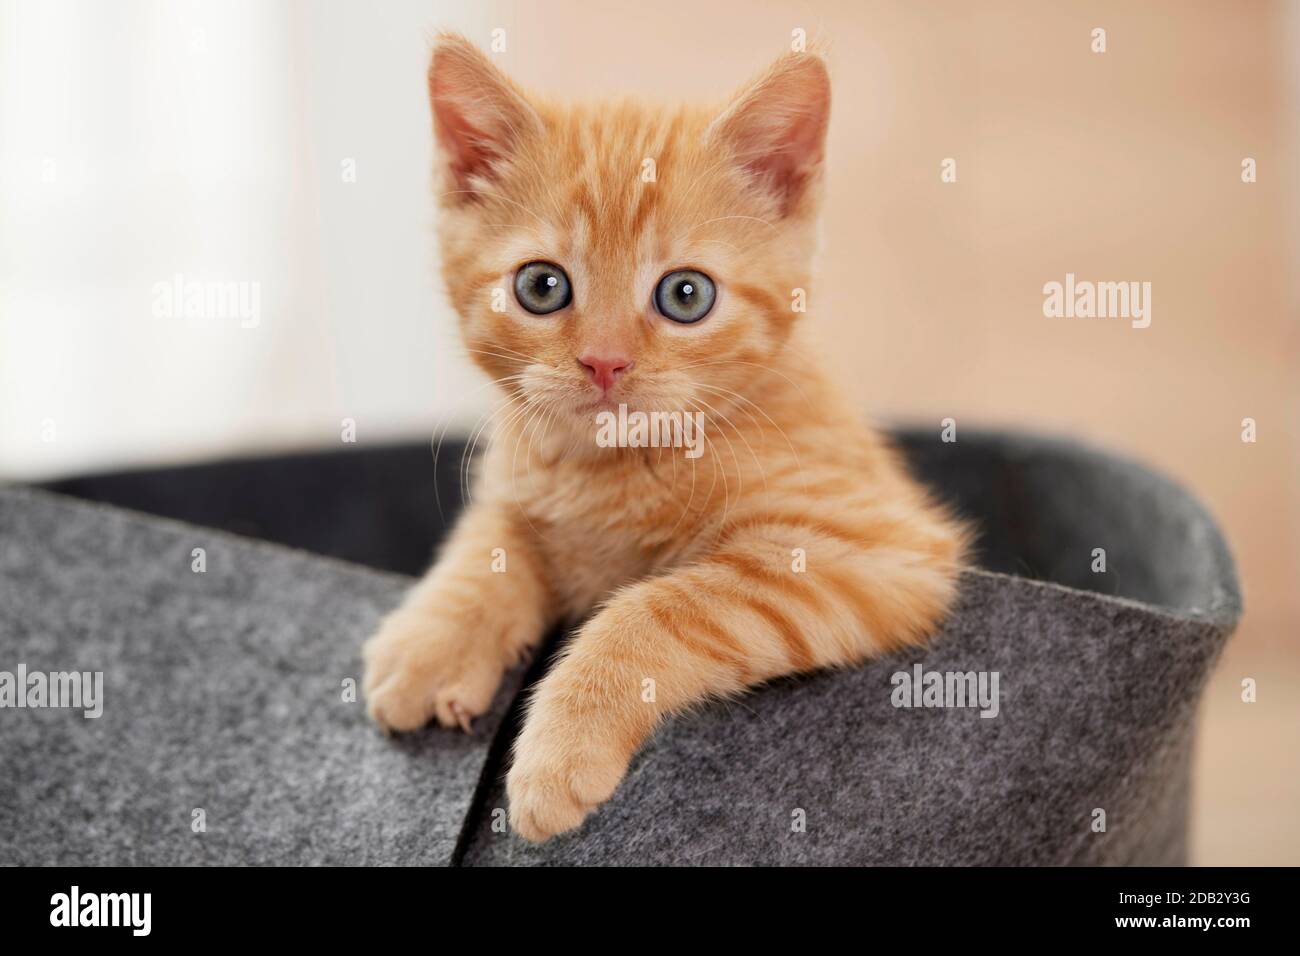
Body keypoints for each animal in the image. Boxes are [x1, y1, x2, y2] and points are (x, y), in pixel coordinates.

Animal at [361, 33, 972, 842]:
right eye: (541, 287)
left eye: (687, 295)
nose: (604, 362)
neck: (611, 467)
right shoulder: (516, 480)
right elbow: (489, 539)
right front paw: (434, 640)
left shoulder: (872, 547)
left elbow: (660, 608)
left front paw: (563, 745)